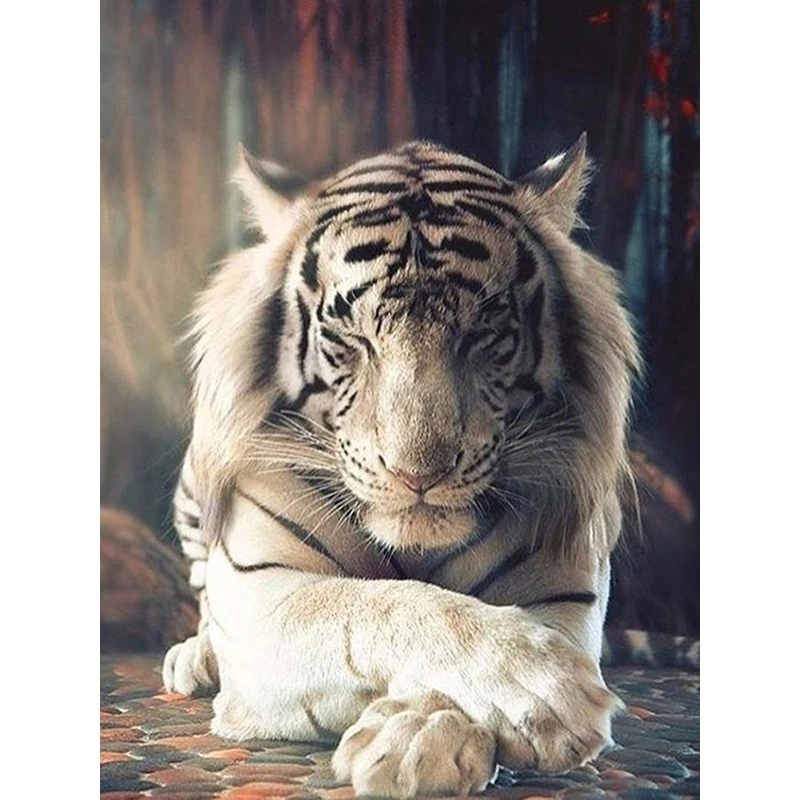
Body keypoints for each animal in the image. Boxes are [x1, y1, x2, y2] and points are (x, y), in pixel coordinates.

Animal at [163, 135, 644, 798]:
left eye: (483, 333)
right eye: (351, 337)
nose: (418, 475)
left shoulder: (563, 593)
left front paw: (420, 737)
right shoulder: (265, 596)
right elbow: (382, 605)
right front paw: (543, 688)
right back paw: (195, 656)